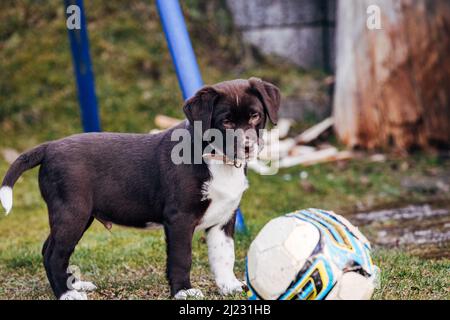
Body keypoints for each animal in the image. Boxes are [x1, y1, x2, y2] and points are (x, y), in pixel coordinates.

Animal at [0, 77, 280, 300]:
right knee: (53, 254)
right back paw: (67, 294)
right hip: (73, 212)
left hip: (78, 215)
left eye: (255, 116)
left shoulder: (224, 217)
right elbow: (181, 258)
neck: (216, 159)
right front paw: (183, 291)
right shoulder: (179, 218)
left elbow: (224, 255)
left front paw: (229, 286)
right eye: (227, 122)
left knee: (50, 249)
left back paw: (76, 284)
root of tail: (49, 147)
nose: (248, 147)